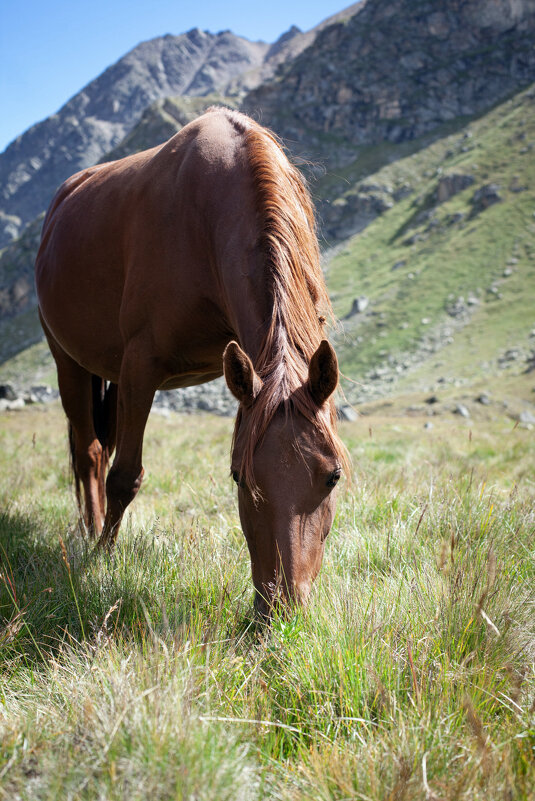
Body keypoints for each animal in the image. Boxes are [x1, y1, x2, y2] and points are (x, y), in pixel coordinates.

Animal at [35, 106, 350, 616]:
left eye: (332, 477)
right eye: (238, 476)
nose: (281, 610)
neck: (204, 217)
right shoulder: (141, 365)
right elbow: (125, 477)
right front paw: (100, 561)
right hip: (70, 364)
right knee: (89, 454)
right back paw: (89, 534)